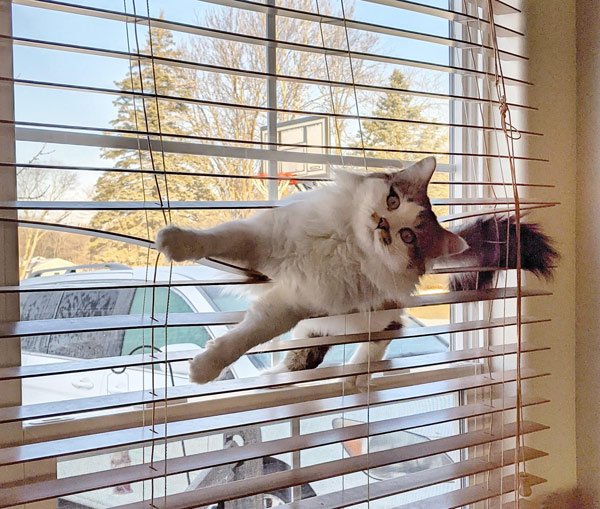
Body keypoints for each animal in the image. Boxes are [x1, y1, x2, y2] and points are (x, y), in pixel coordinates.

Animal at [156, 157, 556, 382]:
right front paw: (175, 241)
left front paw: (204, 369)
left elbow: (244, 338)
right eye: (392, 200)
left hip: (370, 314)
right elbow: (216, 240)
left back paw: (354, 375)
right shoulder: (265, 241)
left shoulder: (295, 303)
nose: (382, 224)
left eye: (408, 235)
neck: (344, 242)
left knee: (391, 332)